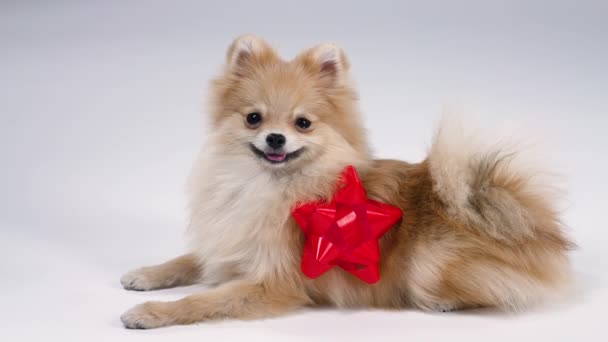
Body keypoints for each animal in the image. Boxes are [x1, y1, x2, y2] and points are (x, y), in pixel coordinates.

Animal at [120, 34, 576, 328]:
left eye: (302, 123)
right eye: (253, 118)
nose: (275, 138)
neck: (265, 186)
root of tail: (532, 222)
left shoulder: (273, 281)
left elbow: (205, 299)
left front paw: (153, 312)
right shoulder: (229, 244)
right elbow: (188, 260)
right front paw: (146, 274)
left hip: (429, 261)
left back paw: (446, 304)